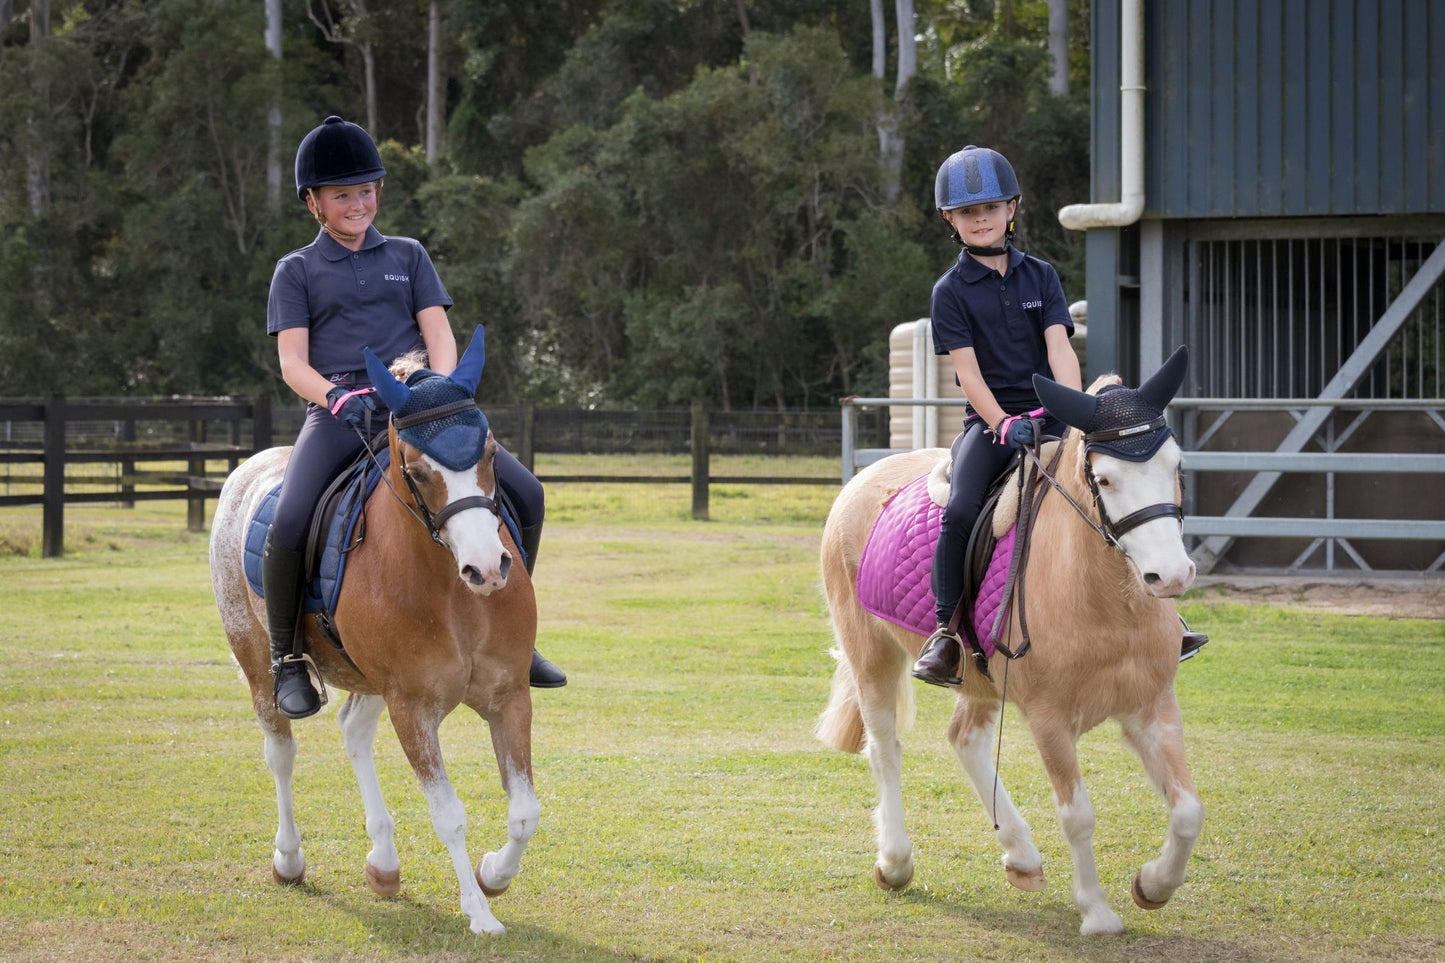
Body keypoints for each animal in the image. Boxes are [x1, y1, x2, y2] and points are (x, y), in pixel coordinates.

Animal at [208, 326, 537, 931]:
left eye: (488, 452)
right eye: (418, 468)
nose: (486, 568)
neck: (453, 594)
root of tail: (249, 467)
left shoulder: (509, 695)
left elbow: (525, 810)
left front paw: (493, 875)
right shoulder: (412, 707)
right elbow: (448, 814)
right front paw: (479, 911)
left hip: (368, 678)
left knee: (353, 729)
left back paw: (383, 863)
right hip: (258, 661)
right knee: (280, 750)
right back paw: (289, 859)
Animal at [820, 345, 1202, 931]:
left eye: (1176, 466)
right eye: (1104, 479)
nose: (1171, 576)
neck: (1106, 601)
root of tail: (864, 479)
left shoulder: (1153, 706)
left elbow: (1187, 811)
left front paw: (1153, 885)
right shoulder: (1048, 718)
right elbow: (1077, 816)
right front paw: (1096, 912)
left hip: (978, 675)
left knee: (964, 738)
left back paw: (1020, 855)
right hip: (871, 654)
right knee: (884, 749)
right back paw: (896, 862)